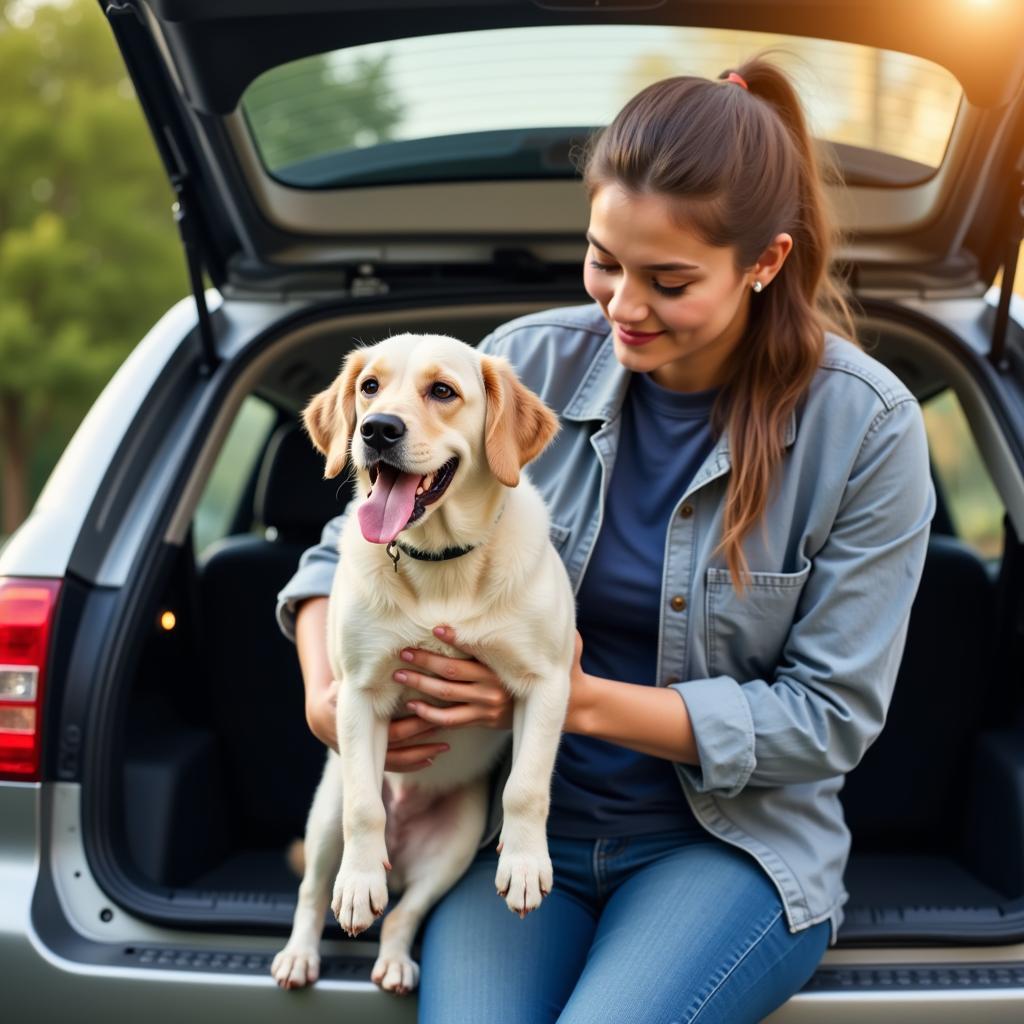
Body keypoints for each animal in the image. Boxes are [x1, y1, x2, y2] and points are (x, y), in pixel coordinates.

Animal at [270, 333, 577, 991]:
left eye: (443, 391)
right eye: (369, 387)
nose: (378, 429)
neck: (442, 563)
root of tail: (406, 856)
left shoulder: (546, 681)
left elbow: (527, 788)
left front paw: (524, 863)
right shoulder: (358, 694)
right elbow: (365, 809)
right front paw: (360, 883)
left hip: (453, 848)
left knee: (403, 915)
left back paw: (393, 963)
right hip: (324, 817)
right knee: (314, 891)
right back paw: (302, 951)